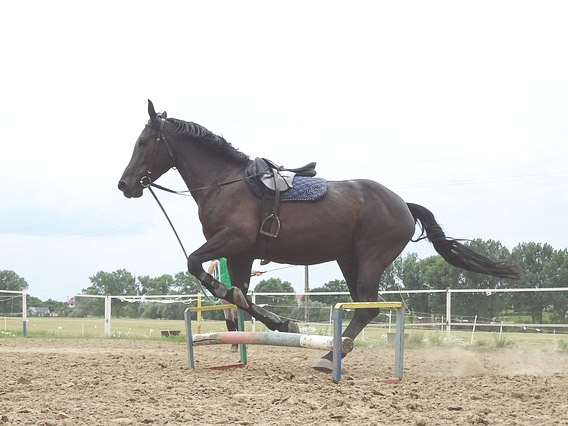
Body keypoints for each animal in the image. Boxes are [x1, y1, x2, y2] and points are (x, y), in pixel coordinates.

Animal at [118, 101, 520, 372]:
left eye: (145, 141)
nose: (125, 184)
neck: (225, 183)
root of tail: (403, 204)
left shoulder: (233, 241)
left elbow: (198, 267)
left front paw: (281, 322)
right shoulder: (241, 254)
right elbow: (238, 295)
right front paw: (279, 323)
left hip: (370, 257)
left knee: (368, 306)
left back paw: (330, 357)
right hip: (348, 259)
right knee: (364, 306)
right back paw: (333, 352)